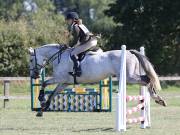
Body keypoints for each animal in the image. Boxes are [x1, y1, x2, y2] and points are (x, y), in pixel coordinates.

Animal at [28, 43, 167, 116]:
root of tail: (129, 52)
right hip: (131, 76)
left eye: (30, 60)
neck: (59, 57)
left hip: (129, 77)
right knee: (146, 79)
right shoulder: (64, 82)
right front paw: (42, 109)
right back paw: (158, 99)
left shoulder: (59, 78)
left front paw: (41, 99)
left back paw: (157, 98)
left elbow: (44, 83)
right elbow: (53, 94)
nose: (33, 75)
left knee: (147, 79)